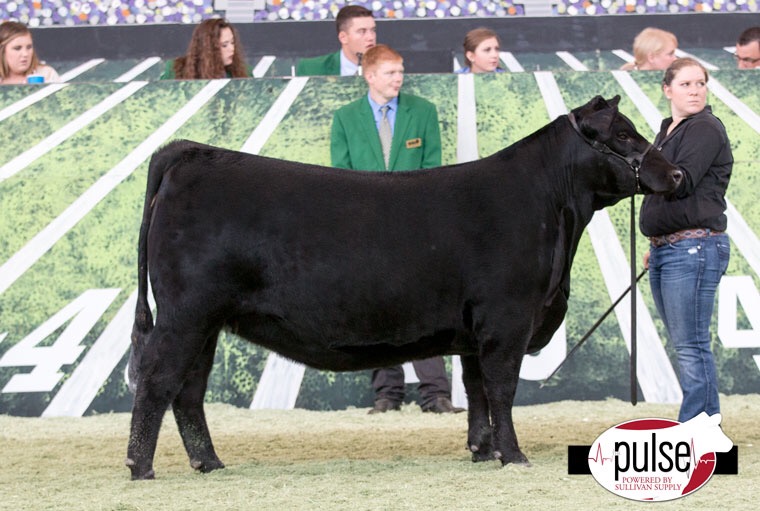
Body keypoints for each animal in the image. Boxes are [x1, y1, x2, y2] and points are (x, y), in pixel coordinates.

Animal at [126, 95, 681, 480]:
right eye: (623, 134)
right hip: (185, 314)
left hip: (207, 323)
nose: (676, 173)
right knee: (157, 381)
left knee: (188, 393)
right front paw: (514, 455)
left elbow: (476, 389)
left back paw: (210, 464)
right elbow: (502, 388)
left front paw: (482, 451)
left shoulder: (476, 329)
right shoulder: (507, 318)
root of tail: (189, 152)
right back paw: (141, 467)